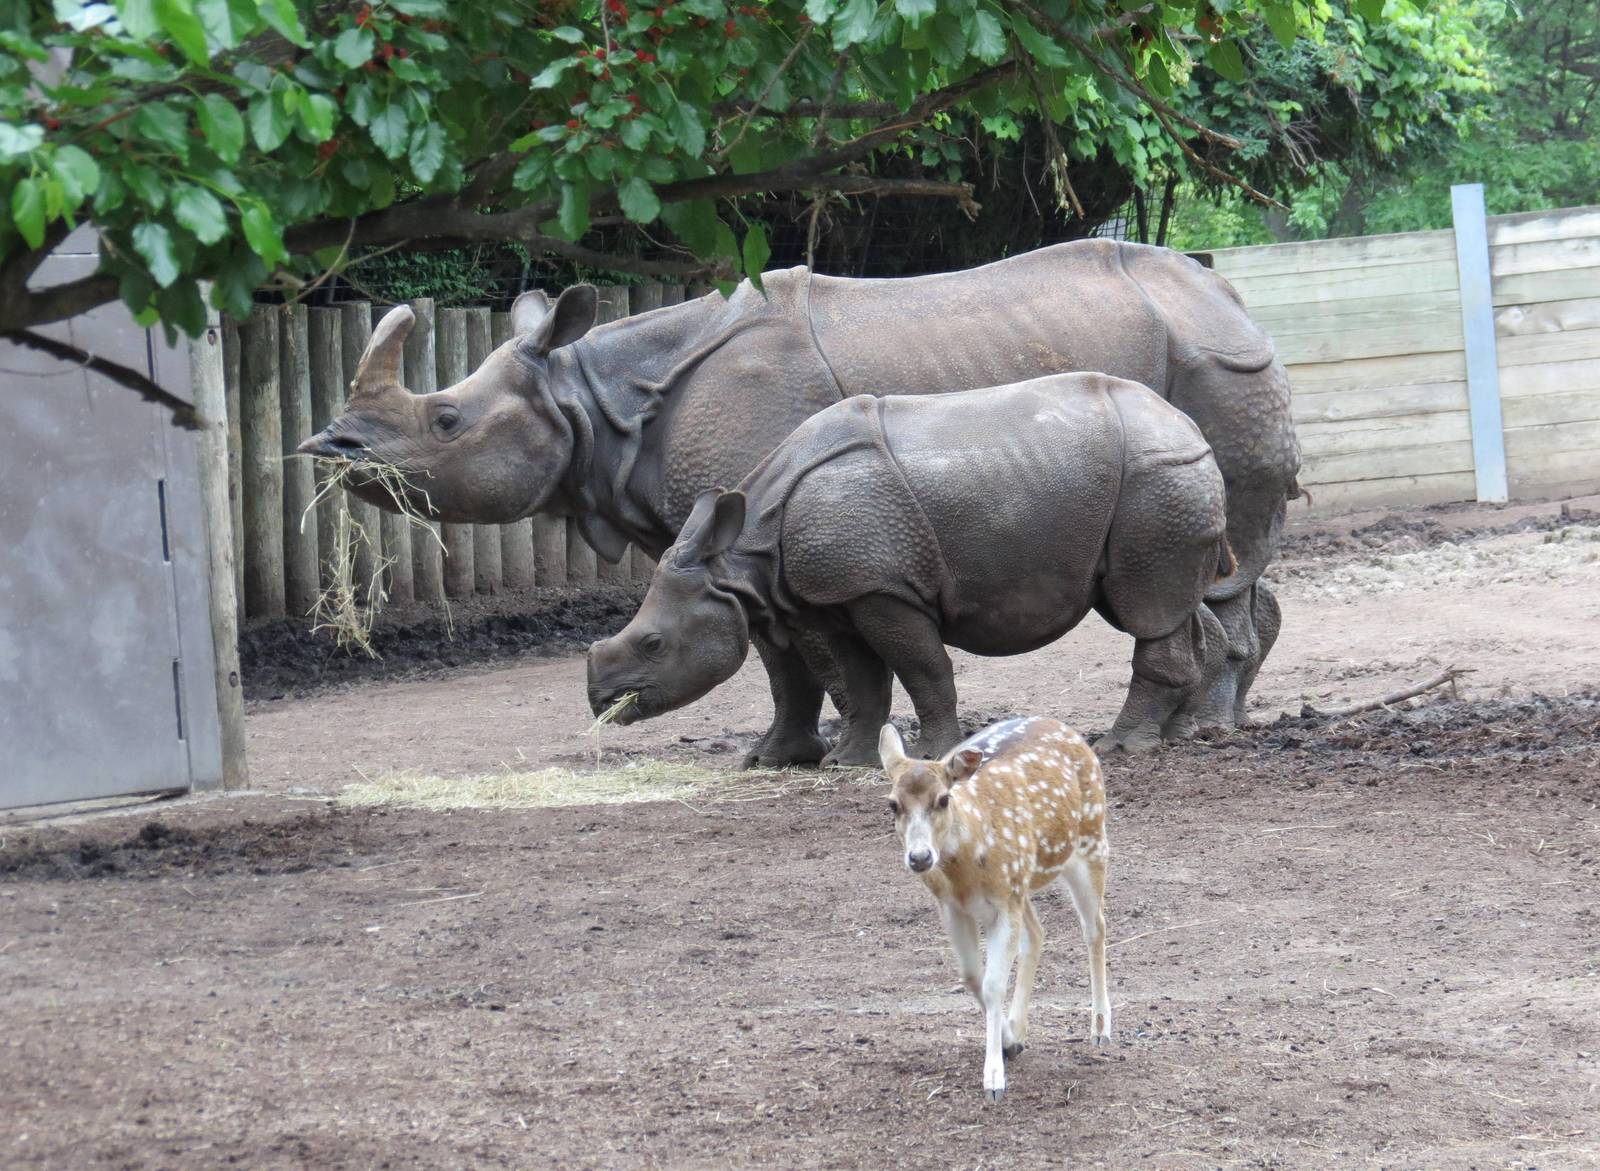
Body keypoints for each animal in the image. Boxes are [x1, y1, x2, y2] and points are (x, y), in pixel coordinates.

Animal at [586, 375, 1233, 762]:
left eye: (652, 644)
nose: (600, 703)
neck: (742, 556)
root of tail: (1189, 425)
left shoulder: (881, 587)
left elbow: (922, 668)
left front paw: (932, 756)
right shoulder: (832, 595)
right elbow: (858, 679)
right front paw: (846, 761)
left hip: (1157, 479)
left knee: (1146, 605)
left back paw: (1118, 747)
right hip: (1153, 485)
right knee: (1162, 603)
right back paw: (1177, 735)